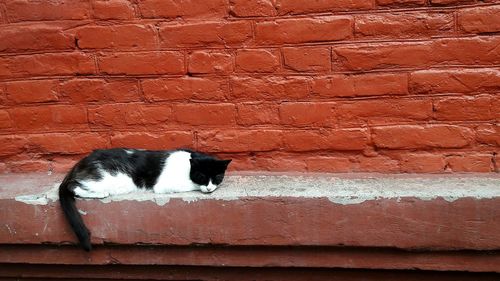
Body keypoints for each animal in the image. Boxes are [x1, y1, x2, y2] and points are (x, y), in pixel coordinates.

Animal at [59, 148, 231, 250]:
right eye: (201, 177)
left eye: (217, 177)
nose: (209, 188)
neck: (188, 164)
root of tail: (79, 163)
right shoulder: (164, 184)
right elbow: (190, 184)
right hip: (107, 179)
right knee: (73, 186)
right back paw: (100, 194)